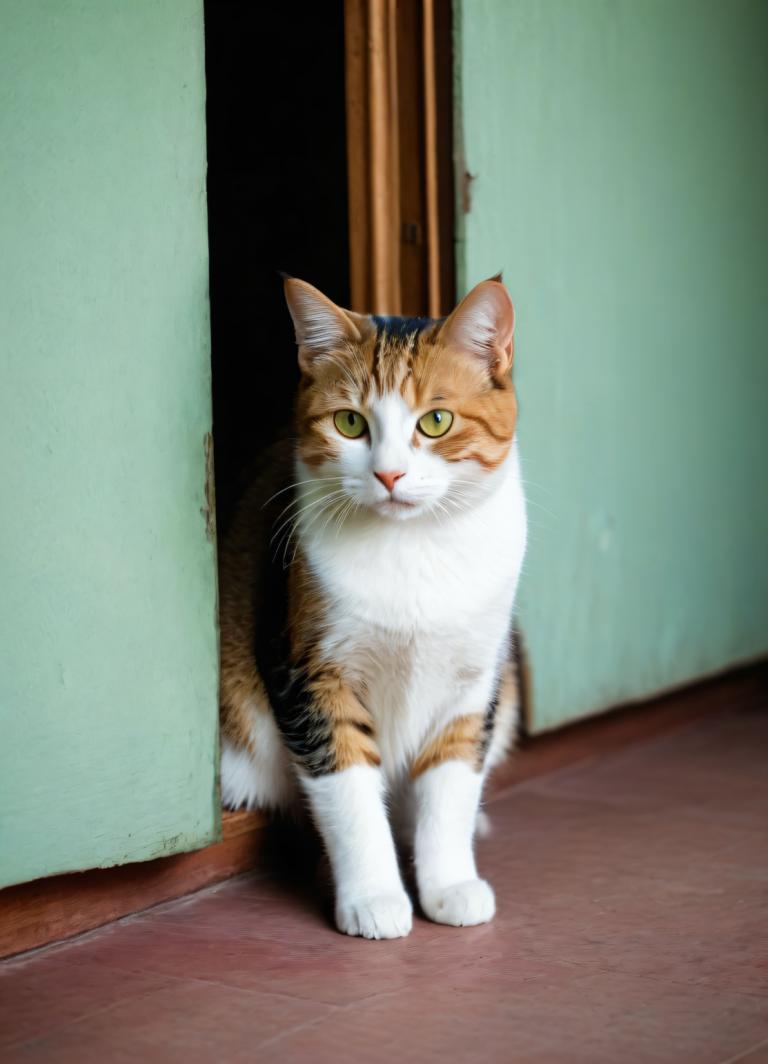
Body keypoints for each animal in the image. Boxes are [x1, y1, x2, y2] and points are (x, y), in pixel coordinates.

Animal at [218, 274, 523, 940]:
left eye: (436, 421)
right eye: (349, 422)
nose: (388, 475)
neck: (413, 548)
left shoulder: (473, 684)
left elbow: (450, 788)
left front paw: (449, 884)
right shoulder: (310, 675)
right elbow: (350, 797)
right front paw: (375, 897)